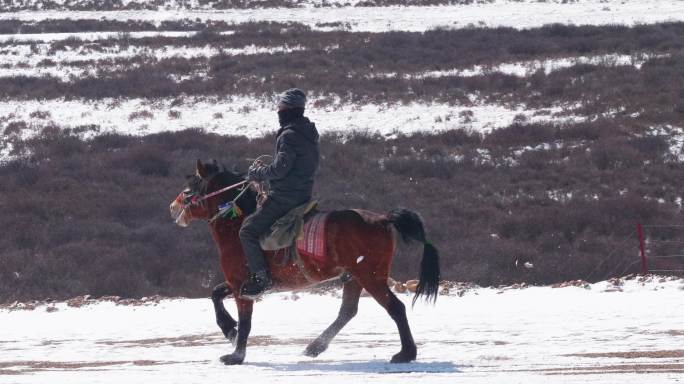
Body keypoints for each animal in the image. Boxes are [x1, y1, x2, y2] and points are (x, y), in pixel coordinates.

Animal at [168, 160, 440, 366]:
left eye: (189, 189)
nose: (172, 207)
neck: (237, 224)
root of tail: (384, 219)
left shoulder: (241, 285)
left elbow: (245, 321)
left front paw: (236, 354)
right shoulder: (241, 284)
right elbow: (215, 294)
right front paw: (229, 330)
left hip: (370, 276)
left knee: (396, 308)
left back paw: (405, 353)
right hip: (354, 277)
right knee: (348, 311)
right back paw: (315, 346)